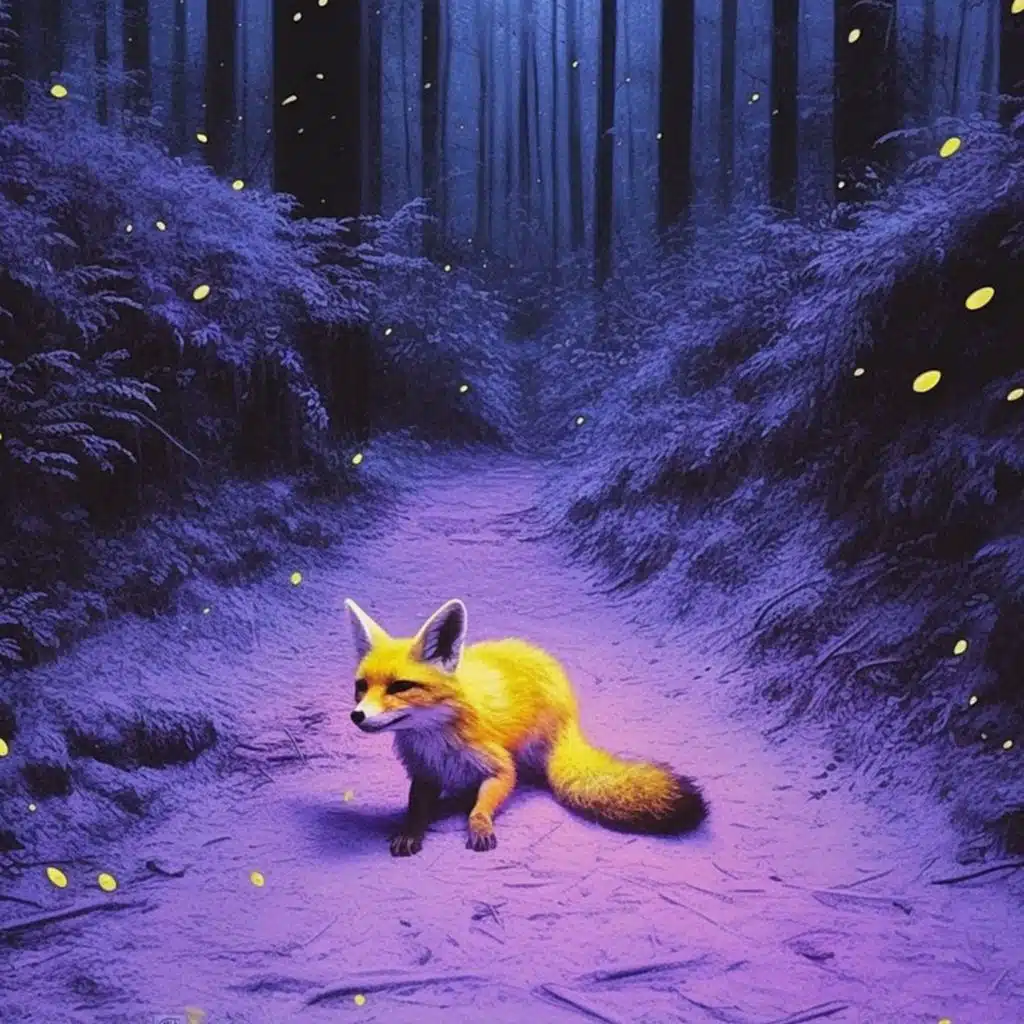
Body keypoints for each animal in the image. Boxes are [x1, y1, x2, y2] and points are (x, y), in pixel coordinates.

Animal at [345, 597, 708, 856]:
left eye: (400, 687)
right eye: (361, 687)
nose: (356, 715)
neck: (436, 744)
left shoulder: (500, 768)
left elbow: (484, 805)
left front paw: (479, 825)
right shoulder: (424, 774)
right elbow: (416, 809)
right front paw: (410, 831)